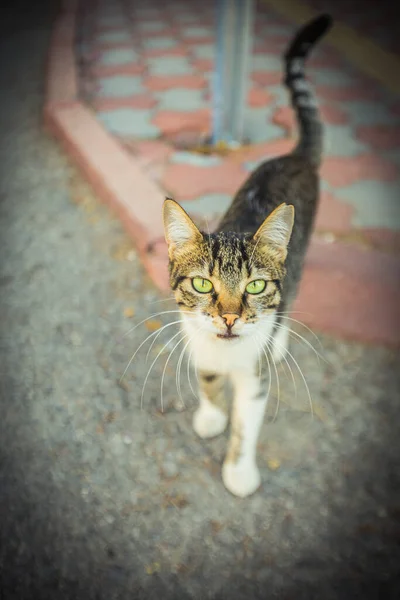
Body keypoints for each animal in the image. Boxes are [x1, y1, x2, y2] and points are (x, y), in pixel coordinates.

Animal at [161, 14, 332, 496]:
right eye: (203, 283)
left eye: (255, 286)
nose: (230, 318)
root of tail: (293, 156)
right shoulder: (199, 347)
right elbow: (208, 384)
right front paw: (210, 416)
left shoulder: (253, 381)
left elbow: (246, 423)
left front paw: (239, 472)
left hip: (301, 252)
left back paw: (281, 341)